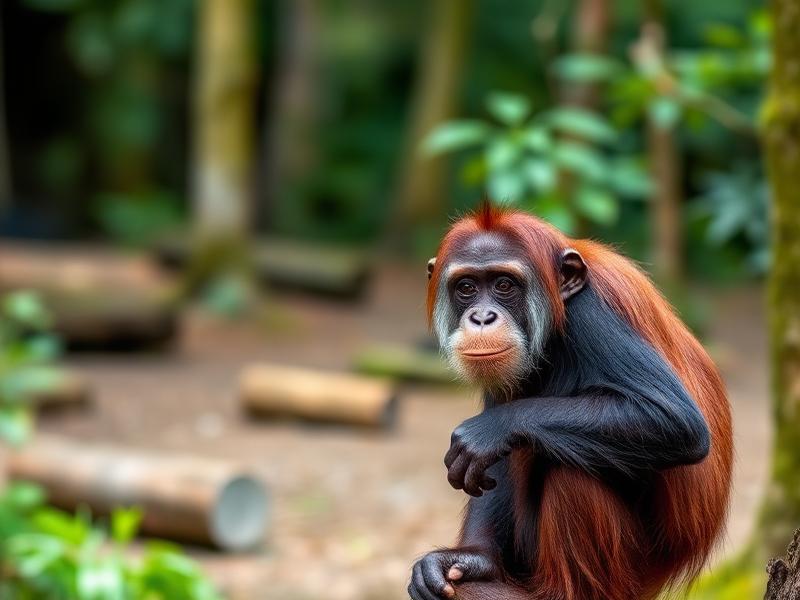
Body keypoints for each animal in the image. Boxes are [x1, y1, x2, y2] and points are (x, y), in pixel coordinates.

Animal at [408, 204, 732, 600]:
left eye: (504, 285)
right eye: (467, 287)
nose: (482, 316)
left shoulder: (588, 314)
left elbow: (674, 419)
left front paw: (489, 431)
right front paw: (470, 560)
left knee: (571, 469)